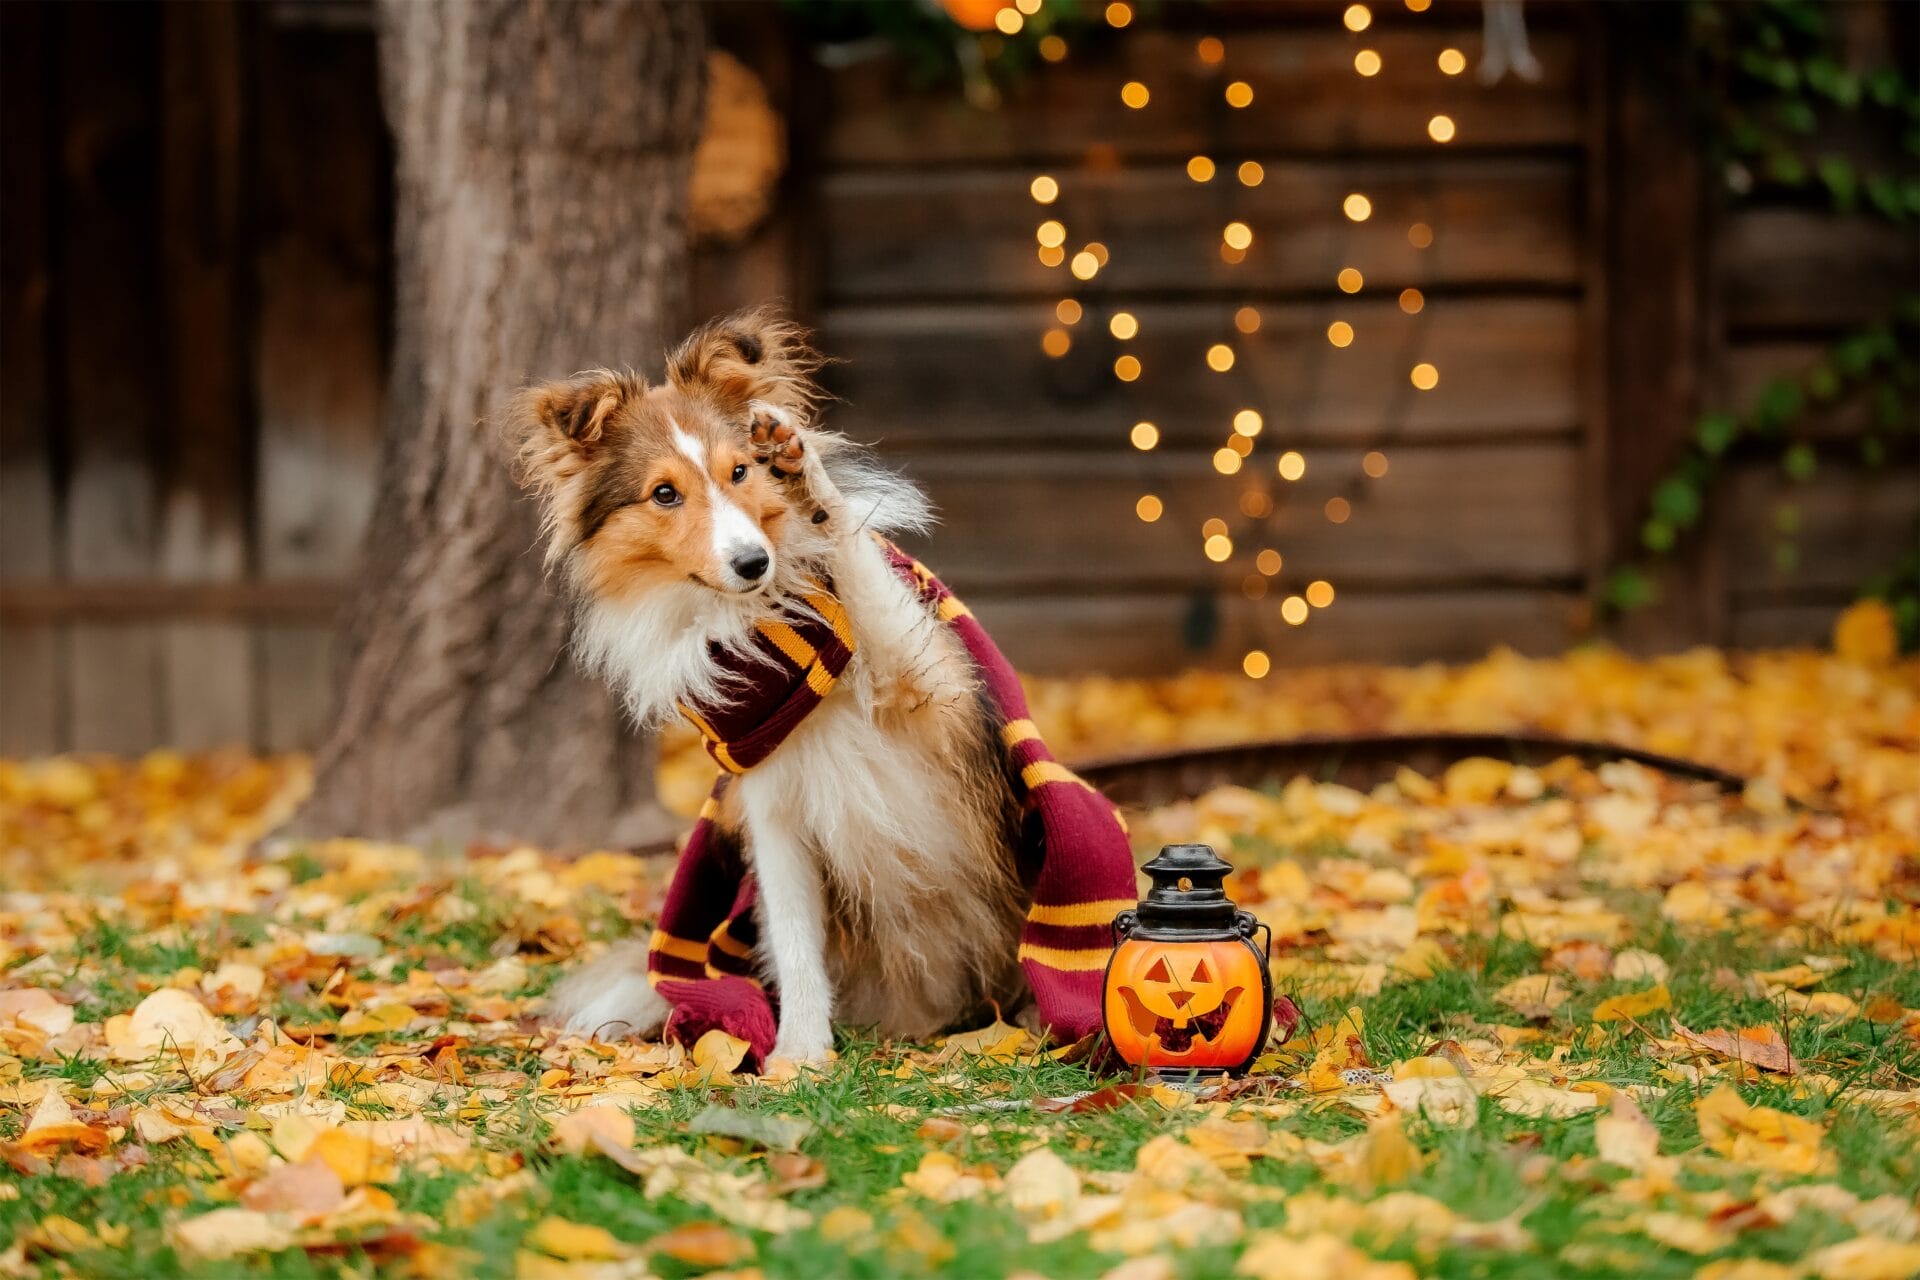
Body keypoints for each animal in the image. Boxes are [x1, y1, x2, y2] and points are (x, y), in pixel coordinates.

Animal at [510, 312, 1136, 1074]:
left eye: (739, 471)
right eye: (664, 494)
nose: (753, 561)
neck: (780, 645)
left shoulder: (931, 688)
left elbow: (858, 565)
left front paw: (806, 481)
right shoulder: (773, 811)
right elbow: (795, 940)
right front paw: (800, 1055)